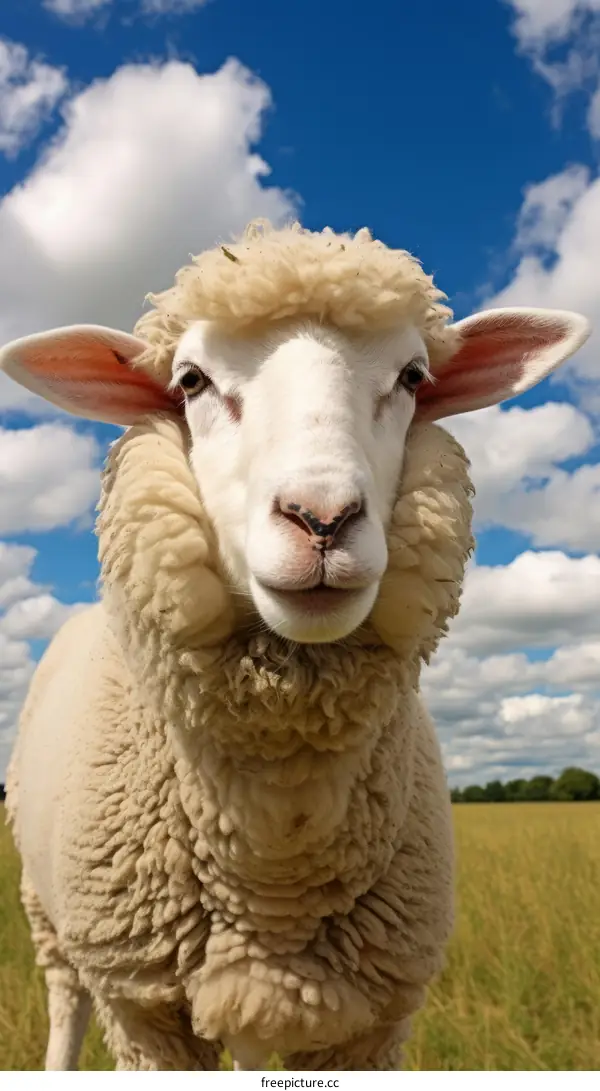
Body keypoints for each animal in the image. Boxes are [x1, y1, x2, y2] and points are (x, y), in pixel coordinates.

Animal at [1, 220, 590, 1071]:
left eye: (413, 376)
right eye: (189, 381)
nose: (322, 518)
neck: (274, 848)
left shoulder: (367, 1020)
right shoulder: (147, 1011)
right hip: (48, 912)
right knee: (64, 999)